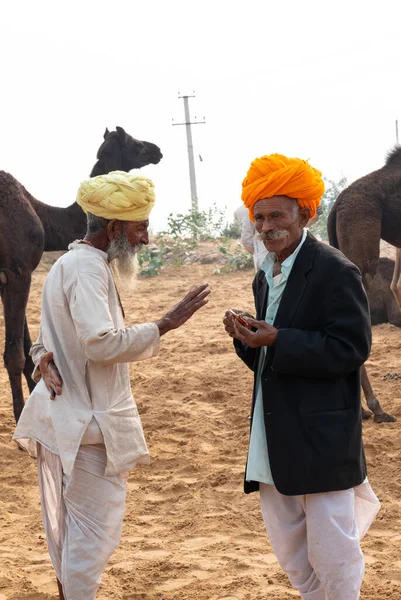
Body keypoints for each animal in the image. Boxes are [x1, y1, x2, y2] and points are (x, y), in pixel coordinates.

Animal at [1, 125, 162, 422]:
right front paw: (20, 418)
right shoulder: (17, 272)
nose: (157, 150)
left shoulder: (7, 278)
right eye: (135, 144)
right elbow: (15, 355)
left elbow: (29, 349)